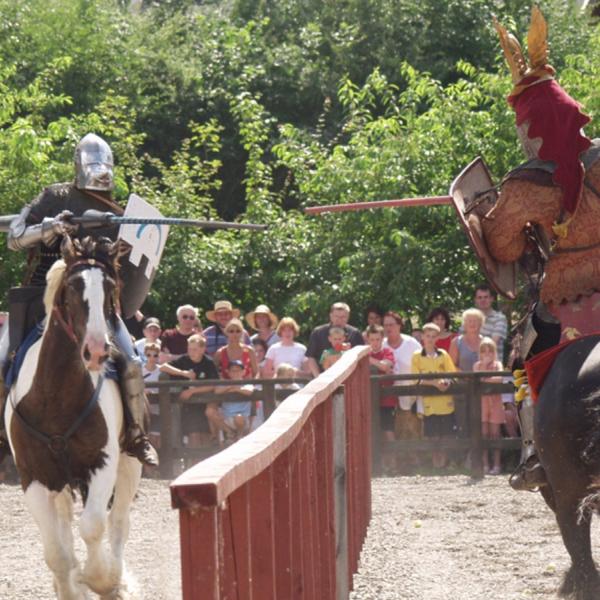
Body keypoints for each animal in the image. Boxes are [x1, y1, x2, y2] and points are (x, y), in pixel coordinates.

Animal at [4, 236, 141, 600]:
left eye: (109, 288)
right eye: (73, 286)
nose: (97, 351)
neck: (55, 397)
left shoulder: (103, 462)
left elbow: (93, 526)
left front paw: (102, 579)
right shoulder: (32, 477)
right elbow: (56, 553)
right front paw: (73, 586)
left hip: (130, 462)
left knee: (119, 521)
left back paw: (118, 576)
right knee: (65, 523)